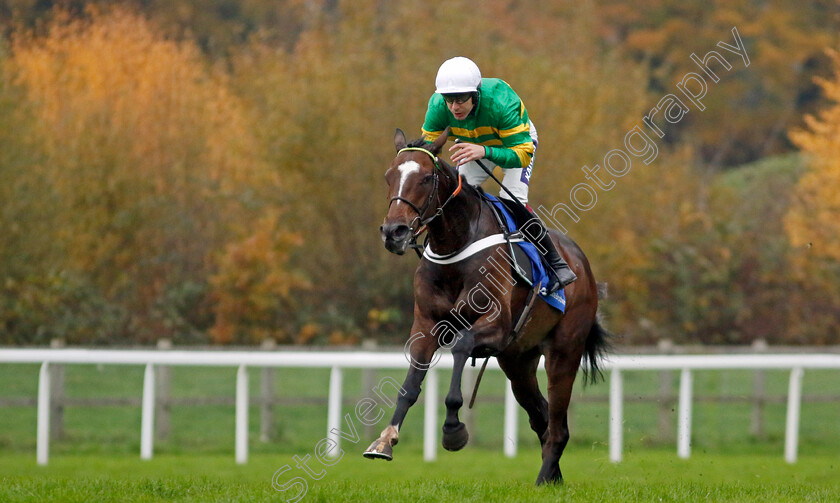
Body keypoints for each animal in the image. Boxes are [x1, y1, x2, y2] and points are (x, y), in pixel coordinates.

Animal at [362, 128, 612, 486]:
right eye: (388, 176)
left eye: (426, 177)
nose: (393, 232)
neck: (455, 247)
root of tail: (584, 267)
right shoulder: (425, 325)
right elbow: (410, 385)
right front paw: (384, 440)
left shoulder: (497, 326)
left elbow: (461, 347)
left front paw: (453, 429)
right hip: (518, 362)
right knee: (542, 418)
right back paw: (553, 478)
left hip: (564, 351)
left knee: (558, 426)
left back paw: (543, 479)